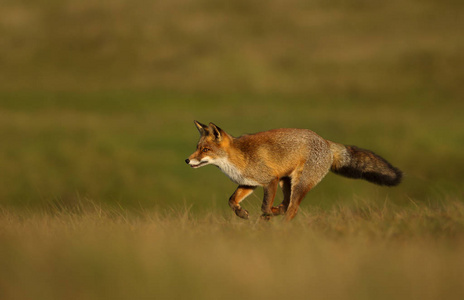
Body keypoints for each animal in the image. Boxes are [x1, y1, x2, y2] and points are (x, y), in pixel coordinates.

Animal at [185, 120, 402, 221]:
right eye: (197, 147)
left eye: (205, 150)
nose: (187, 160)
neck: (238, 158)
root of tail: (325, 141)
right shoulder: (249, 183)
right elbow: (231, 200)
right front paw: (242, 214)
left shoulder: (270, 180)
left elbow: (264, 206)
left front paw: (265, 218)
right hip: (286, 182)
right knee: (286, 205)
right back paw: (278, 212)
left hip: (298, 183)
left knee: (292, 209)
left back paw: (282, 227)